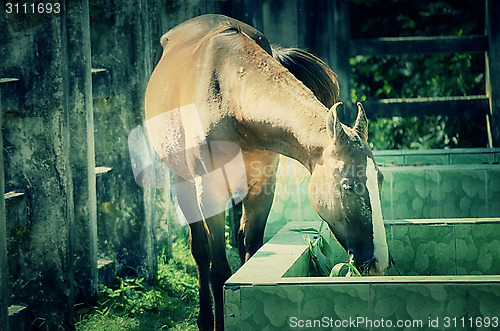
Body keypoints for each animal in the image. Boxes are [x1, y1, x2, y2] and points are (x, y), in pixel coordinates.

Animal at [143, 14, 388, 330]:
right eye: (347, 186)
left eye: (379, 181)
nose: (378, 262)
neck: (230, 97)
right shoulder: (209, 193)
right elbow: (218, 270)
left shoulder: (262, 186)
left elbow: (250, 249)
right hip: (182, 182)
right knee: (200, 252)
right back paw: (204, 319)